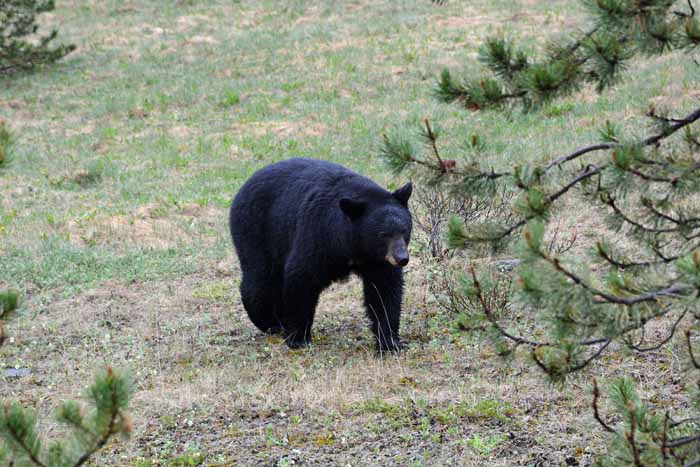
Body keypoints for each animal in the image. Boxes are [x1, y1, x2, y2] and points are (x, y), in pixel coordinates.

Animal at [227, 157, 412, 352]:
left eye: (404, 230)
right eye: (383, 234)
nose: (401, 258)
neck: (353, 245)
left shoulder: (377, 260)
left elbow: (384, 290)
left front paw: (390, 342)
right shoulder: (318, 233)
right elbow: (301, 277)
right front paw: (298, 338)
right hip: (256, 230)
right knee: (260, 280)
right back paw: (270, 322)